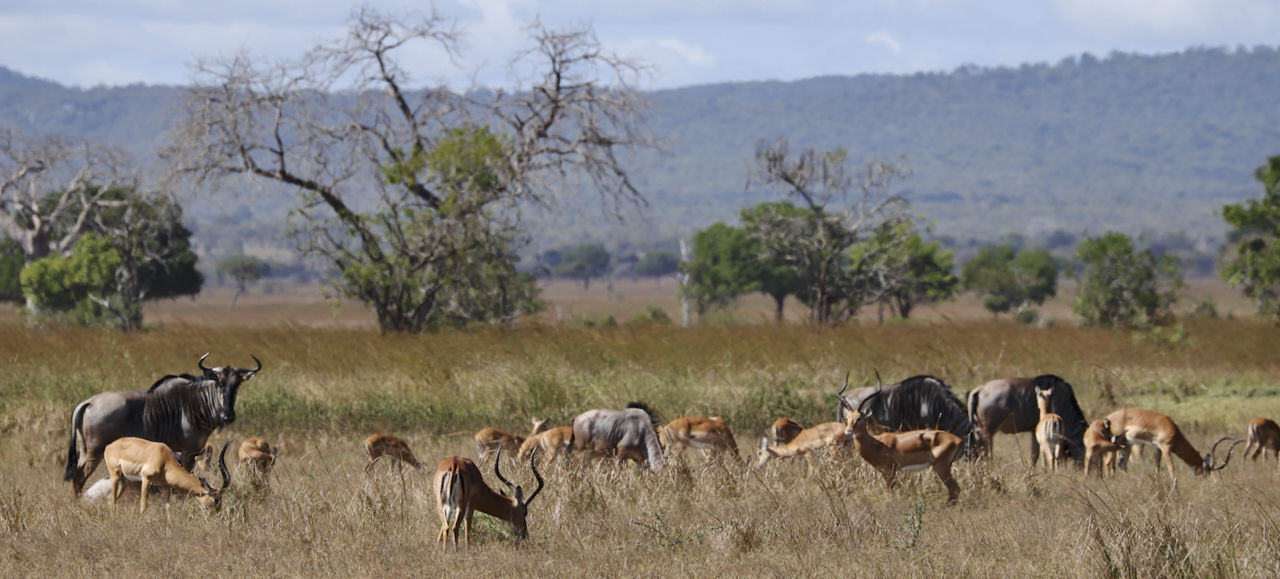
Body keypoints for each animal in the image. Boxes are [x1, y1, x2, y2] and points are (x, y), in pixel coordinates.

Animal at [103, 435, 231, 512]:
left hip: (125, 480)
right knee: (113, 499)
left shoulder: (166, 486)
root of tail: (108, 446)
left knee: (110, 499)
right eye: (216, 500)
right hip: (115, 475)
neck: (164, 459)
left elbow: (168, 508)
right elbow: (143, 505)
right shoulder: (146, 479)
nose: (218, 513)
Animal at [1105, 404, 1244, 476]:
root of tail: (1108, 417)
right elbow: (1171, 468)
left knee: (1122, 464)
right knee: (1108, 462)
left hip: (1127, 444)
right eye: (1205, 472)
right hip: (1115, 443)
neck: (1173, 430)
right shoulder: (1166, 448)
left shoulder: (1156, 448)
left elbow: (1157, 468)